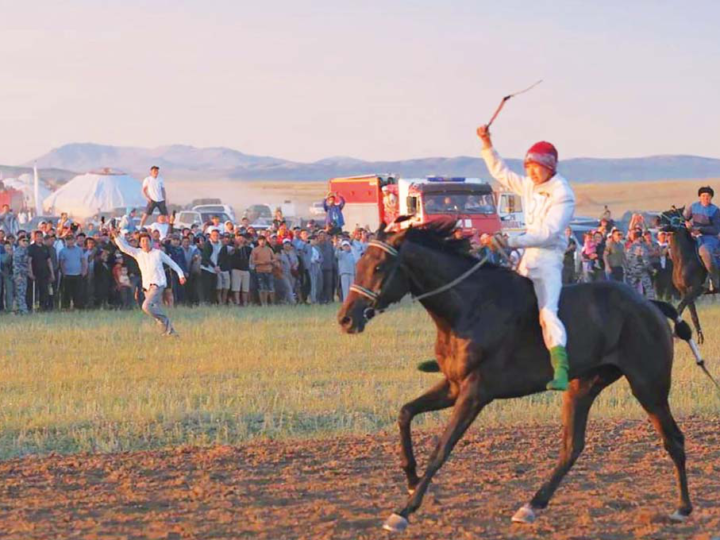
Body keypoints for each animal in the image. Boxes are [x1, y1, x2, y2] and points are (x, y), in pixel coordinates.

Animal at [340, 218, 696, 532]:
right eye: (360, 263)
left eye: (379, 267)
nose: (346, 318)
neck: (467, 308)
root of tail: (650, 304)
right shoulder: (454, 386)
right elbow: (405, 413)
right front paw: (412, 480)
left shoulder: (475, 393)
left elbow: (442, 448)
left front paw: (404, 511)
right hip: (583, 386)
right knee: (572, 446)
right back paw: (532, 505)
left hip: (648, 385)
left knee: (673, 439)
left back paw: (682, 508)